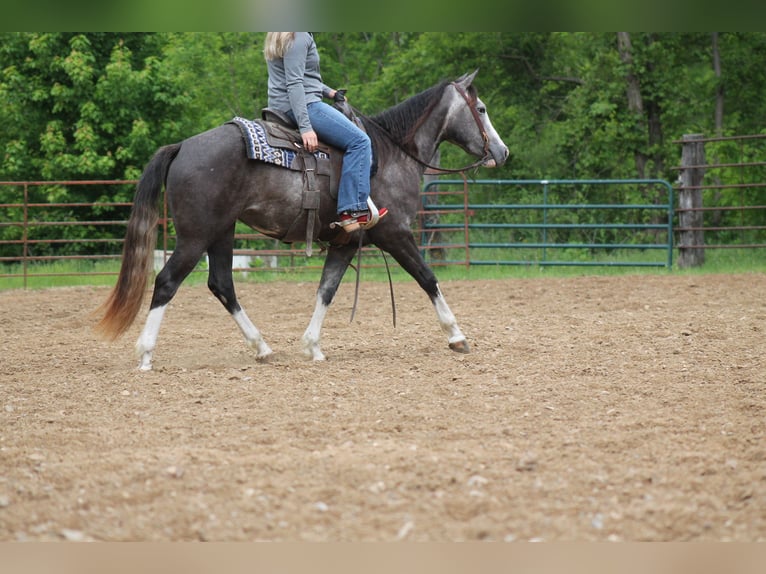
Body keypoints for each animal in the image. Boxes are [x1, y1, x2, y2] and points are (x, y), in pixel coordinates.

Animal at [96, 70, 509, 370]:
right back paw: (146, 354)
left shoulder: (346, 242)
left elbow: (326, 290)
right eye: (482, 109)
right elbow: (428, 279)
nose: (503, 152)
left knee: (222, 284)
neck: (392, 154)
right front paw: (456, 335)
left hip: (222, 232)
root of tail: (183, 146)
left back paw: (262, 347)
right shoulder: (395, 233)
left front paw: (312, 347)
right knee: (167, 282)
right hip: (195, 237)